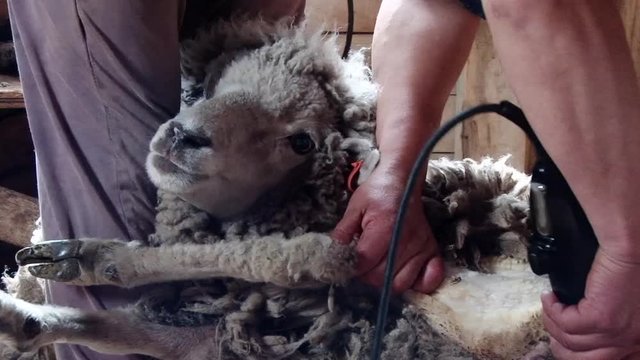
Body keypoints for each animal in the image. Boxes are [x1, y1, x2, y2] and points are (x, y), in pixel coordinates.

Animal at [0, 17, 552, 360]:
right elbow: (155, 334)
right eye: (217, 81)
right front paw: (31, 320)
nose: (182, 136)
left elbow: (272, 256)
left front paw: (90, 258)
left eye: (301, 141)